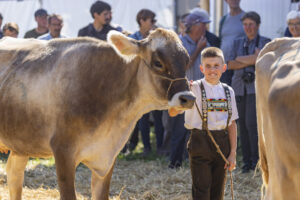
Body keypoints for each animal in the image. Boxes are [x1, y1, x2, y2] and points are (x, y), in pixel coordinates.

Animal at [0, 28, 195, 200]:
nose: (188, 98)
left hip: (21, 145)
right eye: (158, 63)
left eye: (186, 61)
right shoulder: (63, 152)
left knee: (14, 176)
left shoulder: (108, 156)